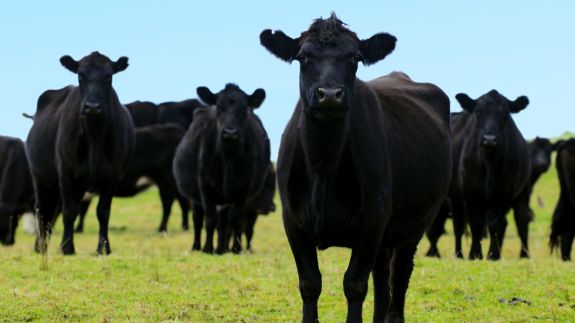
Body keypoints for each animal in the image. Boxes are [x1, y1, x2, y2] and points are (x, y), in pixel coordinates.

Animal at [26, 51, 134, 256]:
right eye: (80, 76)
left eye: (109, 76)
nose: (92, 106)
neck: (94, 135)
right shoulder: (66, 173)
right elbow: (69, 213)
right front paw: (67, 247)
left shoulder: (112, 176)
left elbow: (103, 212)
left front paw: (103, 248)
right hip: (41, 177)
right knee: (43, 210)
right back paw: (40, 246)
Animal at [174, 83, 272, 256]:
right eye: (219, 107)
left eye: (244, 108)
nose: (230, 133)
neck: (228, 159)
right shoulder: (205, 186)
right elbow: (209, 219)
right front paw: (207, 248)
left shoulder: (243, 189)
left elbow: (236, 220)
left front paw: (236, 249)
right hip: (196, 197)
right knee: (198, 219)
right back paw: (197, 246)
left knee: (224, 222)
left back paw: (221, 249)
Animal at [258, 13, 452, 323]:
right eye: (303, 56)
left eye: (355, 58)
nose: (329, 94)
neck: (323, 162)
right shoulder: (293, 220)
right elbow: (310, 283)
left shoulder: (371, 220)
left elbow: (355, 284)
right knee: (382, 278)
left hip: (415, 223)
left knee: (399, 275)